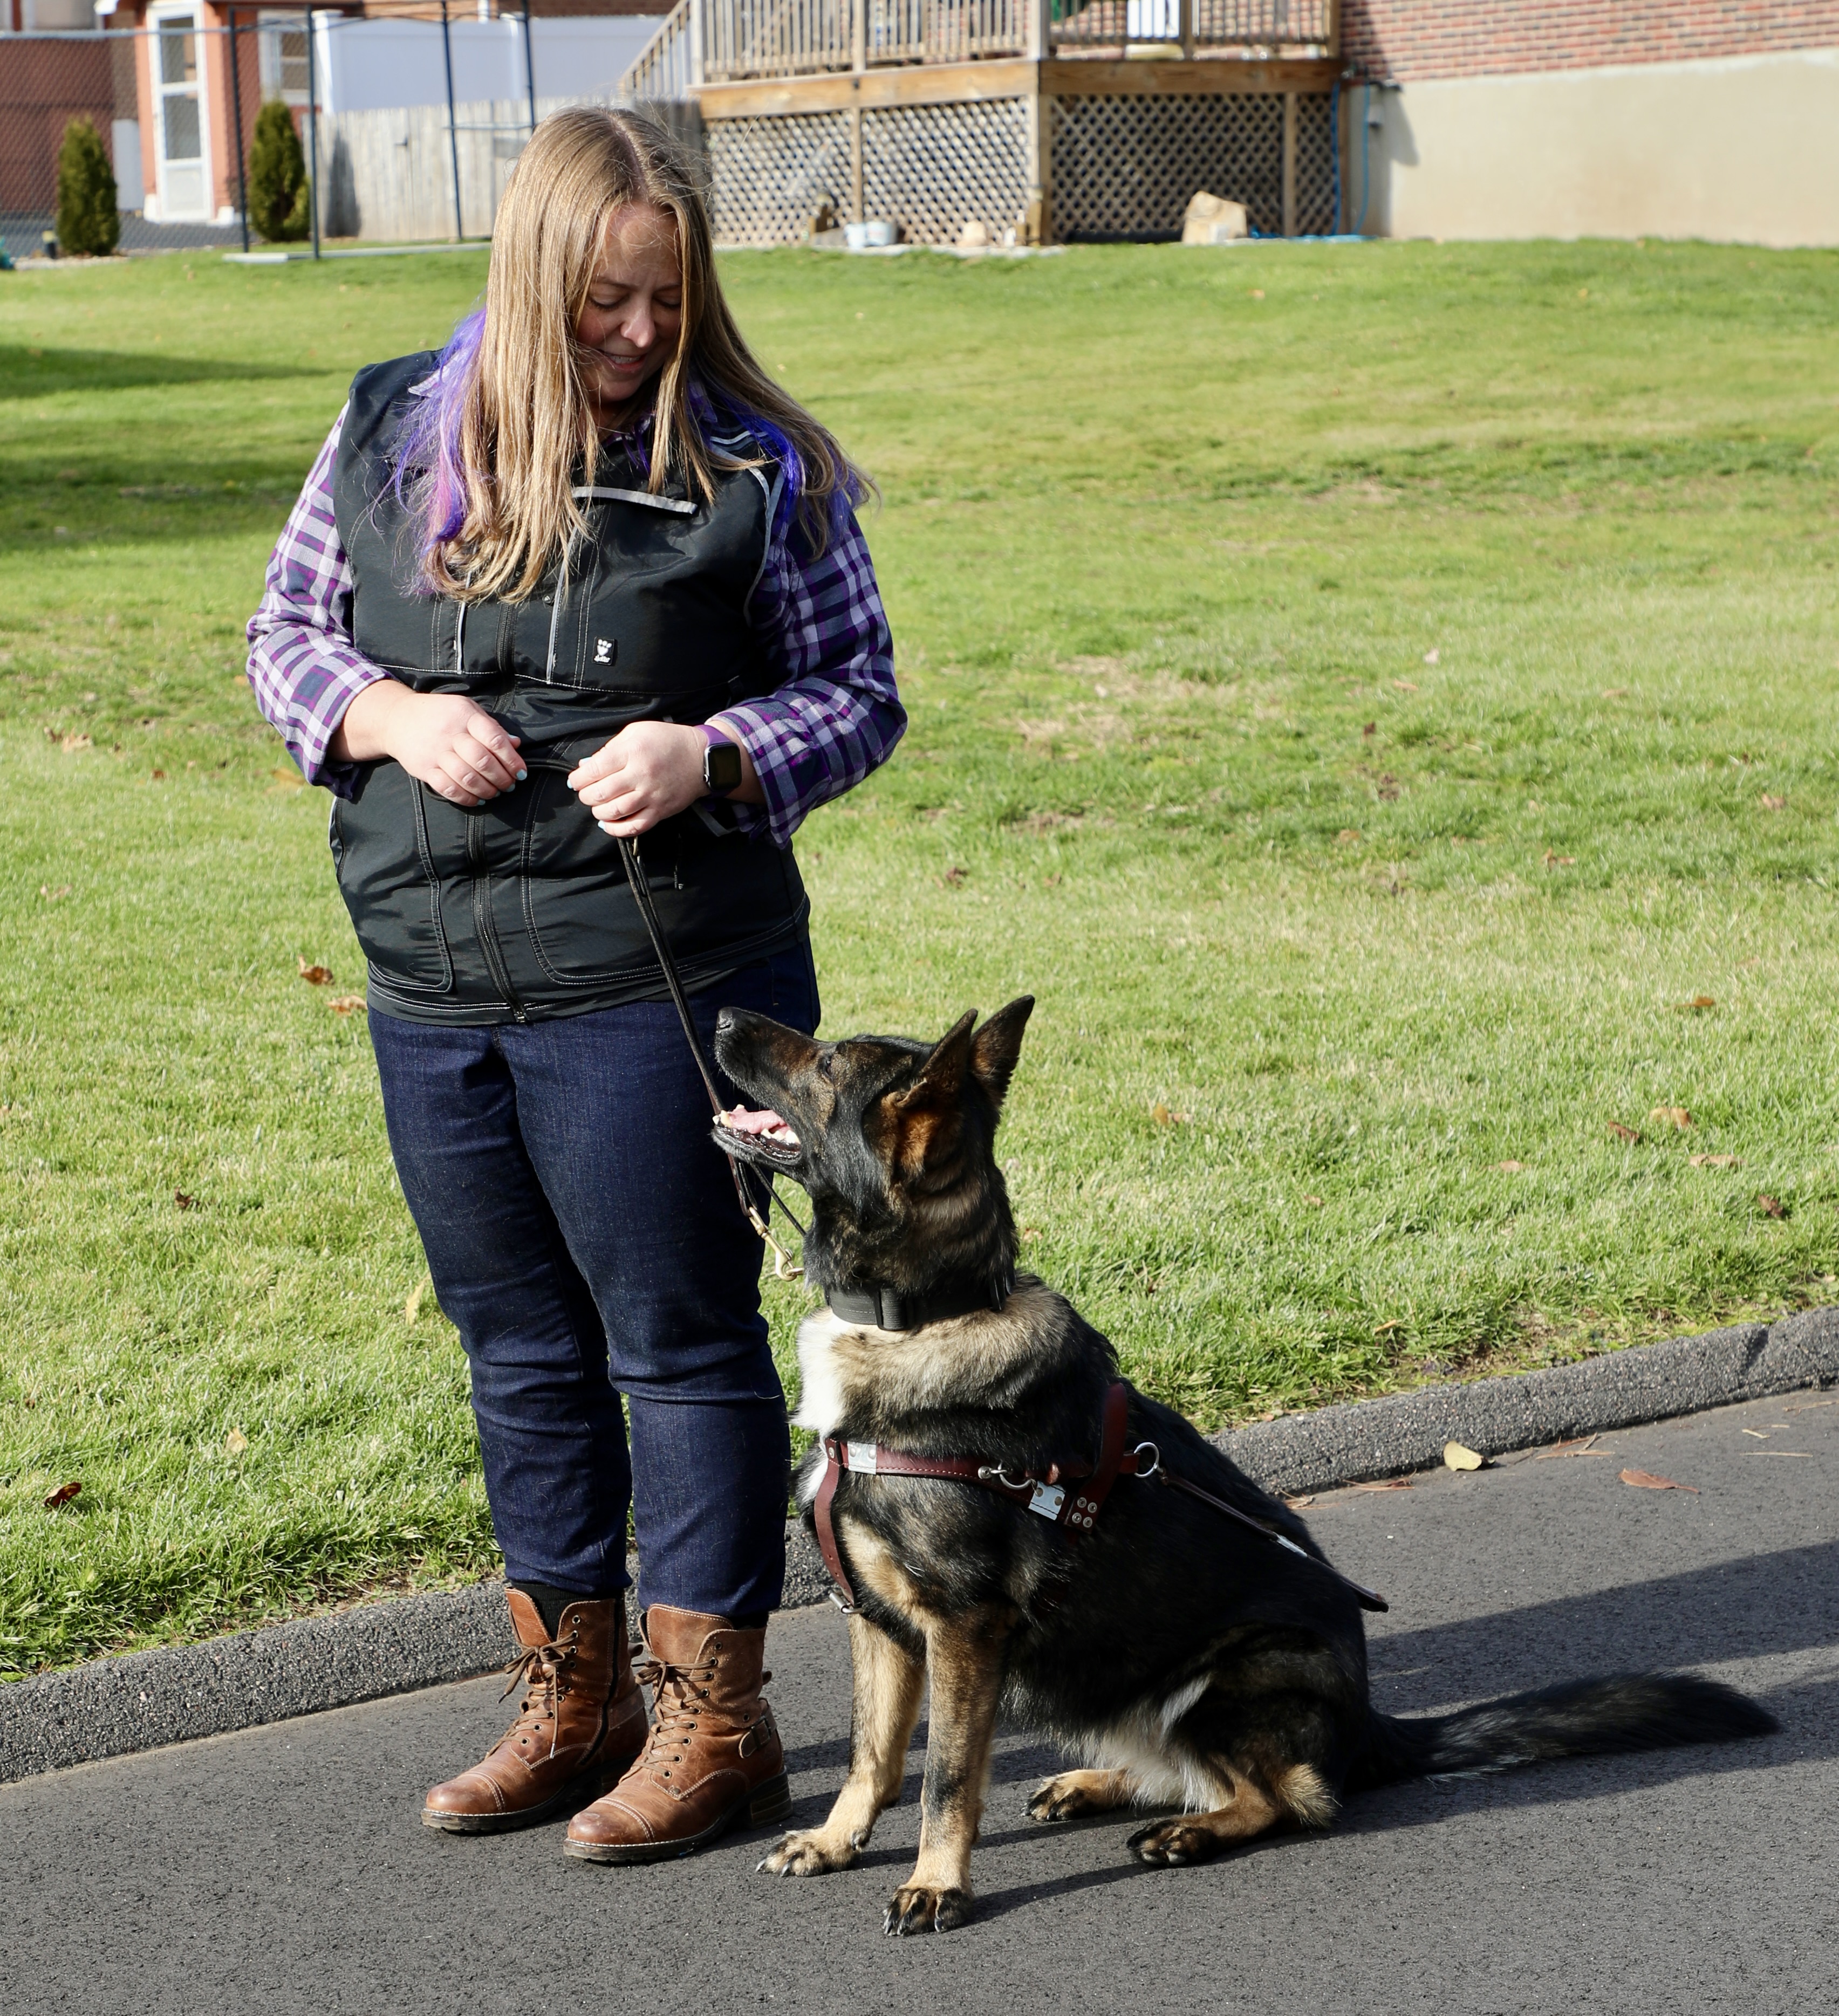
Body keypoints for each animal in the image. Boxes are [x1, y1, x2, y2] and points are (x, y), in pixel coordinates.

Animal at [709, 996, 1774, 1935]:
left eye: (826, 1061)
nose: (717, 1015)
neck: (918, 1320)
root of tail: (1367, 1720)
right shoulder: (880, 1621)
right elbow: (872, 1755)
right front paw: (837, 1839)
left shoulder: (963, 1631)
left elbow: (943, 1778)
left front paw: (937, 1883)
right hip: (1115, 1684)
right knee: (1188, 1768)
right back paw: (1100, 1781)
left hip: (1232, 1675)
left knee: (1292, 1796)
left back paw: (1189, 1830)